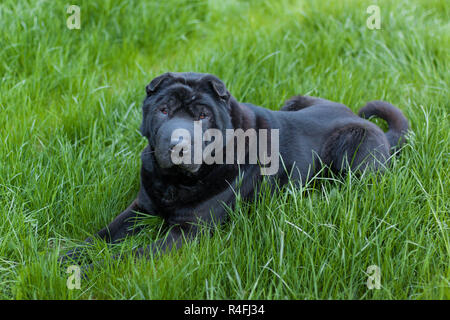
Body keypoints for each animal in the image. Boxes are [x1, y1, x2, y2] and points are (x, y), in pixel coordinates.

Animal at [59, 72, 408, 262]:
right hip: (296, 100)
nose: (177, 143)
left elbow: (129, 256)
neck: (174, 182)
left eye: (202, 115)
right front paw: (64, 256)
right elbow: (103, 235)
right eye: (163, 110)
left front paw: (90, 270)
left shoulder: (188, 233)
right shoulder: (141, 207)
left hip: (356, 146)